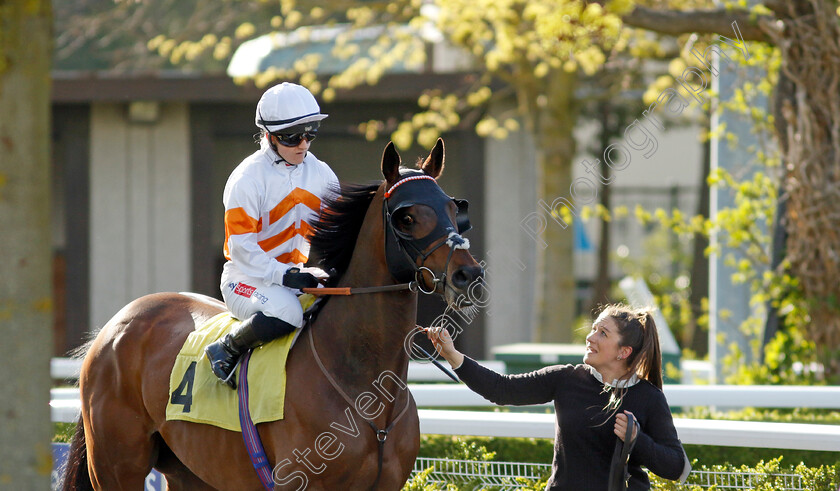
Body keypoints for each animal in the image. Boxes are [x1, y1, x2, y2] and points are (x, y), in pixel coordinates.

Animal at [62, 139, 482, 491]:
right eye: (406, 217)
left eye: (452, 208)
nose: (468, 275)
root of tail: (112, 328)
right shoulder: (300, 480)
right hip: (117, 465)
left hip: (190, 472)